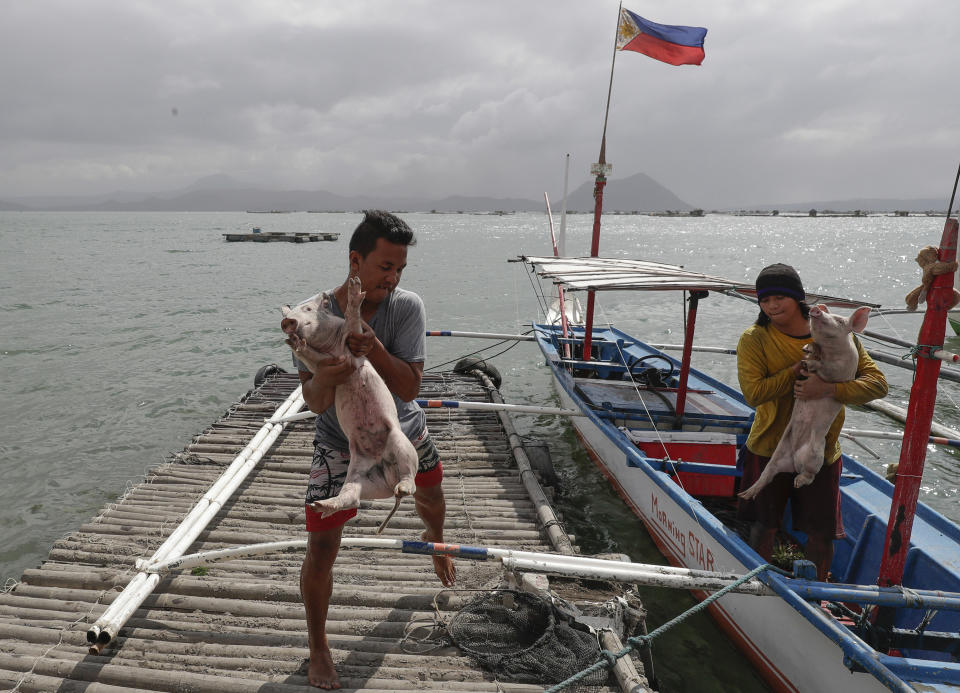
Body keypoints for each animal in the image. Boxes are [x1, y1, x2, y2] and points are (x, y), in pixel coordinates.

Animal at [276, 274, 414, 528]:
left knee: (411, 478)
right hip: (359, 471)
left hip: (400, 442)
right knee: (352, 496)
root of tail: (386, 472)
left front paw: (355, 286)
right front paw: (294, 343)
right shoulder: (319, 364)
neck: (331, 348)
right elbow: (310, 358)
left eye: (308, 309)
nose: (287, 322)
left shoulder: (353, 337)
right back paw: (321, 506)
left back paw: (403, 488)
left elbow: (353, 320)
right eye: (291, 313)